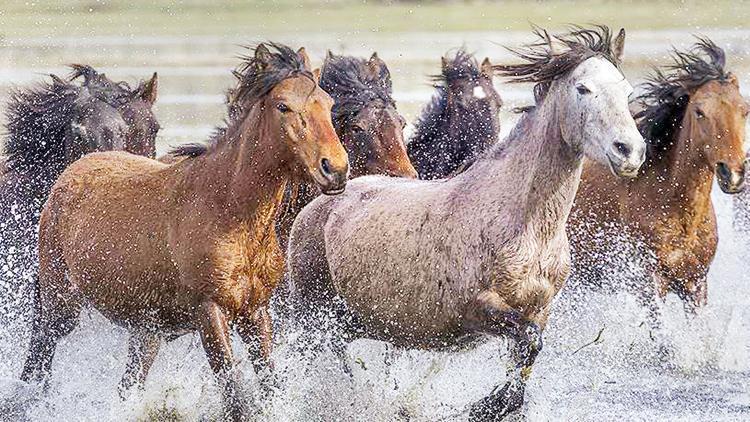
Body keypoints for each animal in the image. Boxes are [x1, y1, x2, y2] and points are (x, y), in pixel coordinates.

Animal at [22, 42, 352, 418]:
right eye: (283, 105)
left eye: (327, 103)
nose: (335, 169)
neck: (231, 212)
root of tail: (70, 174)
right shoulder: (209, 311)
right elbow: (234, 394)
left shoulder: (256, 313)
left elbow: (270, 386)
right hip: (61, 304)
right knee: (41, 352)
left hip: (146, 331)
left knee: (126, 386)